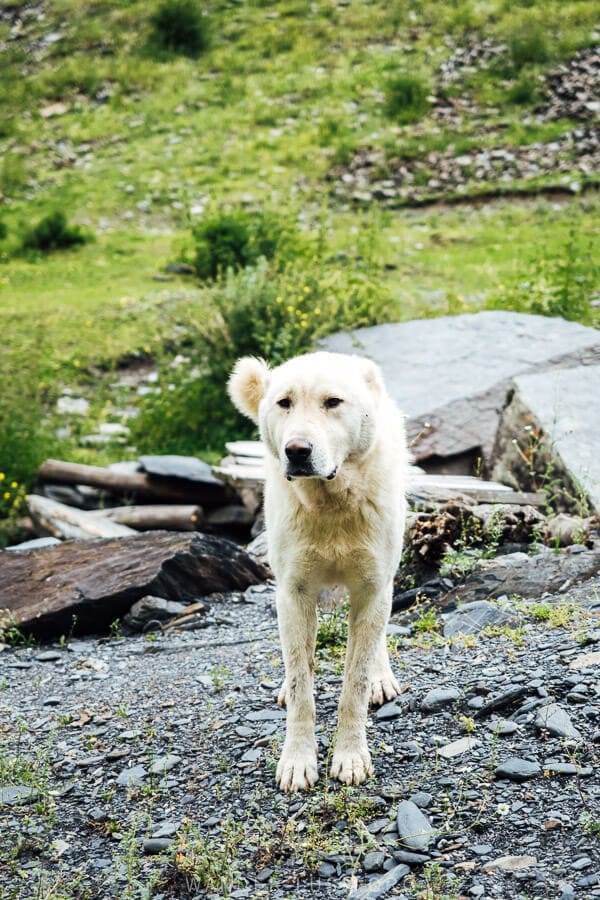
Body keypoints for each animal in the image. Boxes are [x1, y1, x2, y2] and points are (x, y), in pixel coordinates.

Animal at [229, 354, 408, 796]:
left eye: (333, 402)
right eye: (284, 403)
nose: (297, 451)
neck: (331, 503)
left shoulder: (372, 589)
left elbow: (354, 684)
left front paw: (350, 756)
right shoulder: (293, 593)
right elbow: (301, 685)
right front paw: (297, 761)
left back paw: (381, 678)